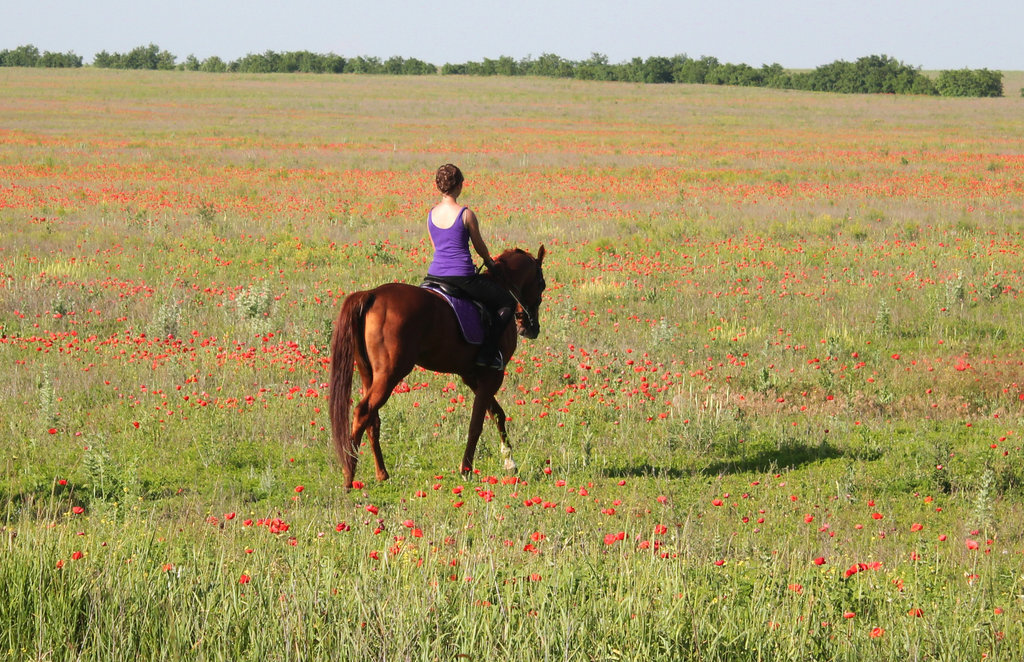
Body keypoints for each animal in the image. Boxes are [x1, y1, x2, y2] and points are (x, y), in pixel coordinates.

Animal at [331, 245, 548, 489]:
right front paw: (466, 470)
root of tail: (372, 294)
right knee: (363, 412)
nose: (531, 328)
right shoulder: (492, 375)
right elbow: (477, 424)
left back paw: (381, 474)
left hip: (369, 374)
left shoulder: (472, 376)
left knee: (372, 419)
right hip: (390, 374)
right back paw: (349, 476)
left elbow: (497, 414)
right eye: (541, 284)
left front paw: (509, 462)